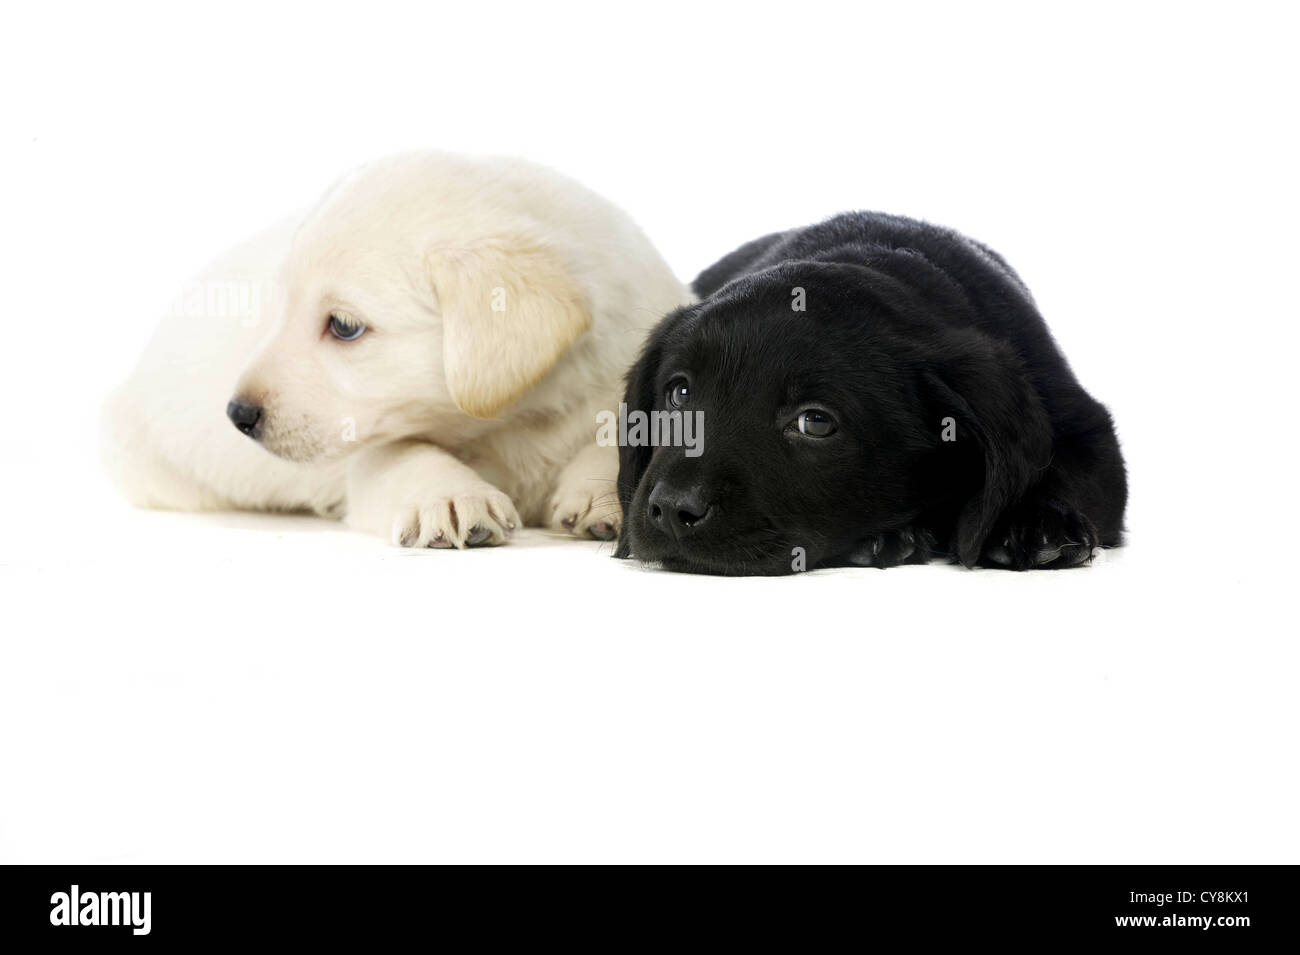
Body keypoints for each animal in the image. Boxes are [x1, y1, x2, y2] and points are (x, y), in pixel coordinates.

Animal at [109, 153, 691, 548]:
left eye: (344, 327)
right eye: (283, 306)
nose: (237, 414)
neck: (511, 423)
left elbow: (613, 430)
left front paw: (601, 494)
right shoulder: (365, 450)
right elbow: (403, 455)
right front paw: (449, 497)